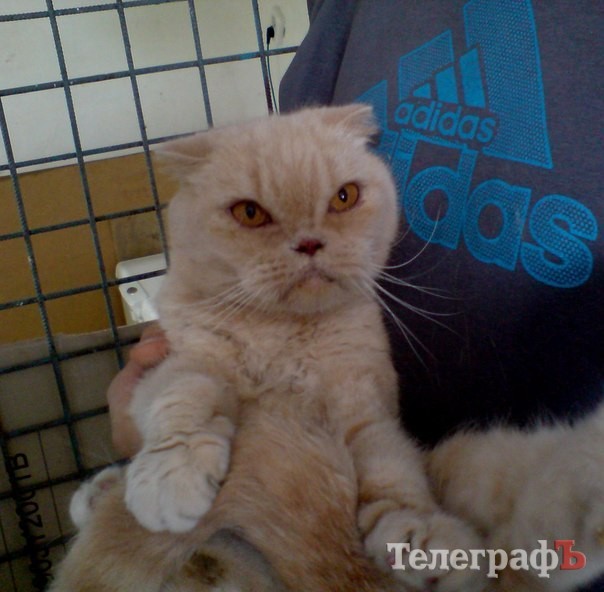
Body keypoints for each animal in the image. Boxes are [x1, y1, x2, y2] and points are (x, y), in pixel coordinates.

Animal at [49, 104, 484, 592]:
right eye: (250, 213)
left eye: (344, 197)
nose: (310, 243)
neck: (284, 337)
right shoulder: (181, 362)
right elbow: (184, 393)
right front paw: (171, 478)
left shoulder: (365, 407)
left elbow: (392, 469)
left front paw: (419, 535)